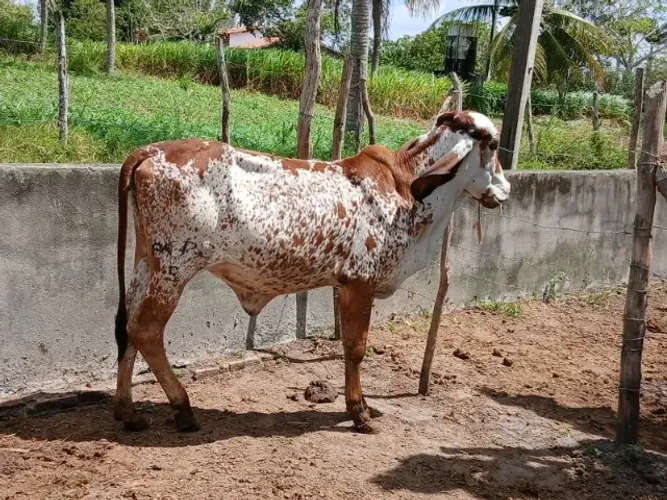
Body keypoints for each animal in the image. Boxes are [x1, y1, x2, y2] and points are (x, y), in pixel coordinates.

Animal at [112, 110, 511, 434]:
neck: (408, 192)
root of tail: (150, 150)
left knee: (127, 326)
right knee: (145, 330)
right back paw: (183, 408)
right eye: (492, 144)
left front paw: (363, 407)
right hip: (175, 266)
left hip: (146, 262)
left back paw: (128, 413)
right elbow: (356, 348)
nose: (506, 189)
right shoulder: (359, 284)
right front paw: (359, 413)